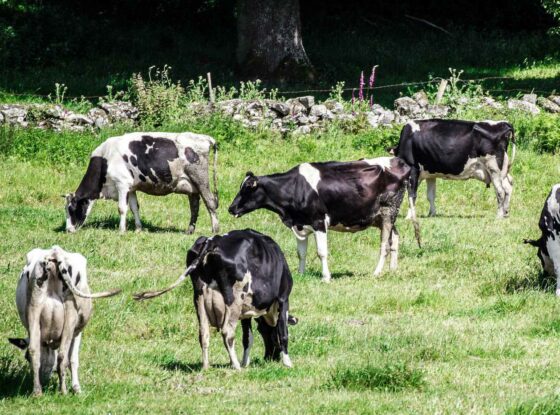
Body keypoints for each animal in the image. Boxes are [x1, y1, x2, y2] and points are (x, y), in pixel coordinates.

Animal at [6, 247, 121, 396]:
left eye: (26, 358)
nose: (44, 380)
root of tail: (54, 253)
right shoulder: (77, 333)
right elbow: (73, 359)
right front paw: (76, 388)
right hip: (70, 312)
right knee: (62, 356)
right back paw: (63, 391)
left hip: (34, 307)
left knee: (34, 349)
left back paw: (37, 392)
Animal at [65, 133, 219, 236]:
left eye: (71, 209)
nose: (68, 230)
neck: (106, 158)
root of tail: (205, 137)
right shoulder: (131, 187)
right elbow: (134, 208)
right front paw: (138, 229)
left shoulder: (122, 184)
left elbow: (122, 208)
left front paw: (121, 231)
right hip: (192, 186)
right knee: (194, 206)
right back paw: (189, 231)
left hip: (200, 179)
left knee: (210, 202)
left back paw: (215, 230)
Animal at [133, 231, 296, 370]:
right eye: (265, 332)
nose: (270, 358)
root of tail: (213, 240)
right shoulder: (283, 298)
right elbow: (283, 332)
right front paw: (287, 362)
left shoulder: (246, 312)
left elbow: (247, 338)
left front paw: (245, 362)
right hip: (233, 298)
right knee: (227, 332)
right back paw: (236, 366)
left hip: (199, 297)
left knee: (203, 333)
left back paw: (206, 367)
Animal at [229, 157, 420, 282]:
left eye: (247, 189)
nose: (231, 208)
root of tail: (400, 161)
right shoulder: (300, 224)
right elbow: (301, 253)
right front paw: (301, 274)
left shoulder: (319, 222)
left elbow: (322, 252)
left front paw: (326, 277)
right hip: (381, 217)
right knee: (395, 238)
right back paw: (393, 269)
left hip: (389, 211)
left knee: (385, 245)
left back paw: (377, 272)